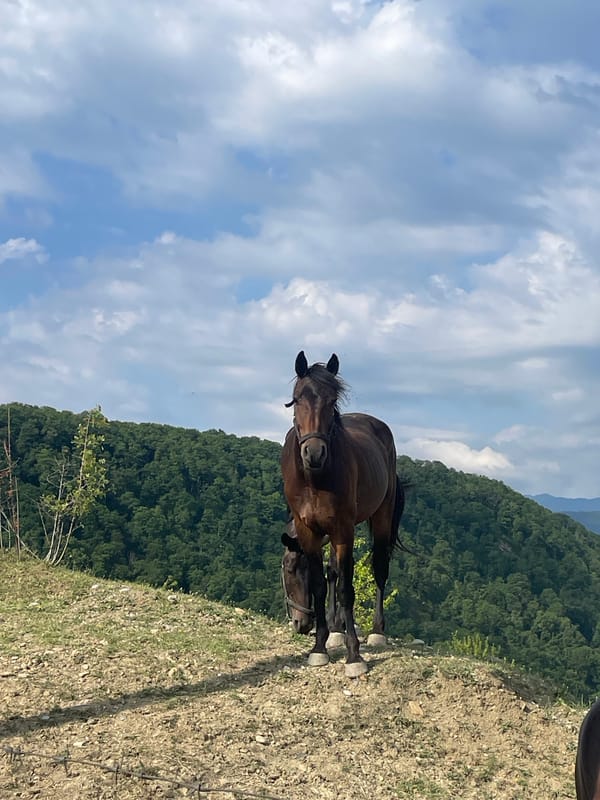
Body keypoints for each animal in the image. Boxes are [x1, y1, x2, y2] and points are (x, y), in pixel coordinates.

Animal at [280, 350, 406, 677]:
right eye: (297, 399)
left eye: (332, 401)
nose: (314, 453)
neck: (314, 478)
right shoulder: (312, 532)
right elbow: (322, 583)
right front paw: (321, 645)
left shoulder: (342, 530)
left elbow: (346, 590)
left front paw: (353, 654)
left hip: (380, 518)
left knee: (379, 567)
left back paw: (376, 631)